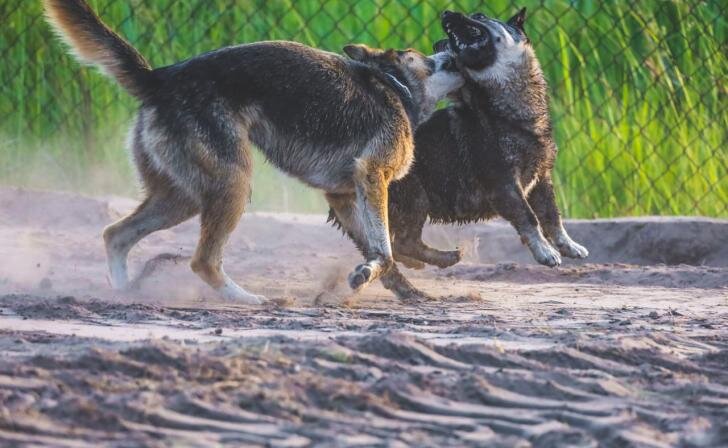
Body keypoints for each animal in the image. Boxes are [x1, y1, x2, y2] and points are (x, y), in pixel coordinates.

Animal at [45, 0, 464, 302]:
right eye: (419, 55)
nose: (449, 48)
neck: (395, 85)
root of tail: (160, 78)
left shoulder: (345, 195)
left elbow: (385, 254)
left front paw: (407, 289)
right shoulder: (372, 176)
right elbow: (387, 249)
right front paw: (373, 275)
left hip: (182, 197)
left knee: (115, 234)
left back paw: (124, 291)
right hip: (232, 185)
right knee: (203, 262)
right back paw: (247, 300)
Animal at [386, 9, 584, 294]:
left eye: (479, 16)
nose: (446, 12)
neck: (507, 115)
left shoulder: (541, 180)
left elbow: (552, 217)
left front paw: (568, 245)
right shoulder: (505, 184)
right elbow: (530, 218)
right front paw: (545, 252)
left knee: (398, 243)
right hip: (416, 198)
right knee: (401, 241)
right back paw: (443, 258)